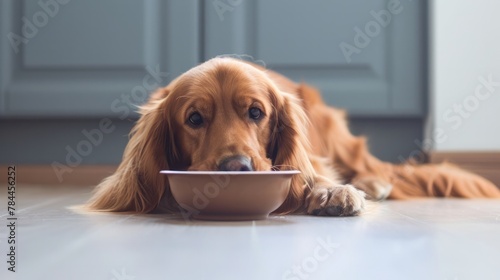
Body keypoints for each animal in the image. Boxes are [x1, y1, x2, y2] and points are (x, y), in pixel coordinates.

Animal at [86, 57, 500, 217]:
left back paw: (373, 183)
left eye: (256, 113)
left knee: (369, 167)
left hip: (334, 134)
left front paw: (332, 192)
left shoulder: (309, 155)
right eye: (194, 119)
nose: (235, 167)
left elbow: (312, 173)